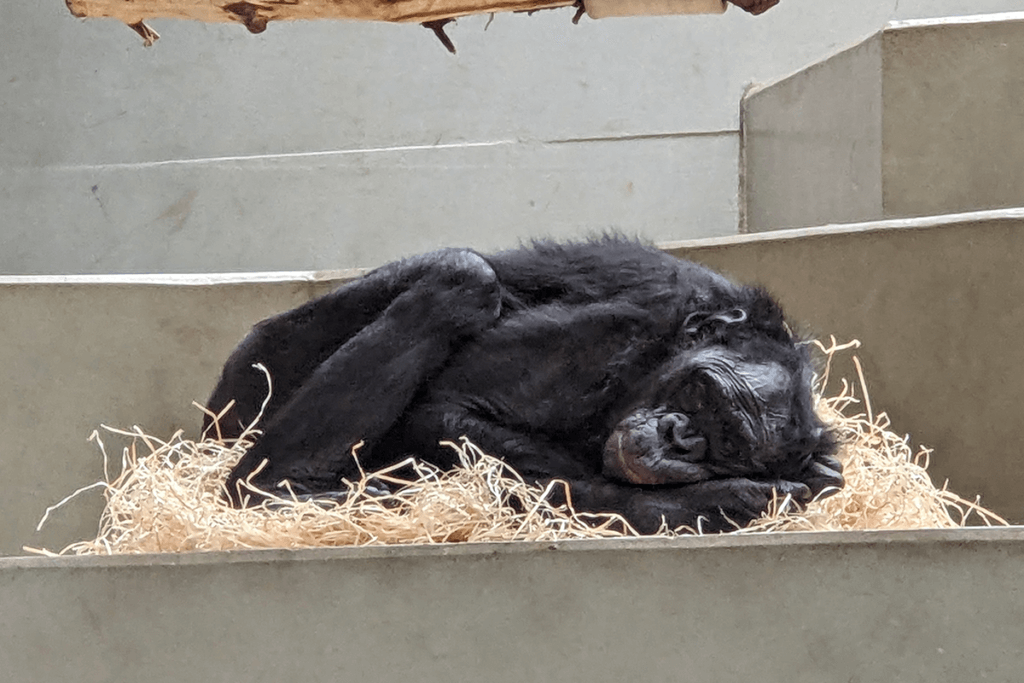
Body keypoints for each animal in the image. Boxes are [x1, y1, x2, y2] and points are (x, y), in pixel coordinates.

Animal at [203, 239, 843, 532]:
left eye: (728, 441)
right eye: (703, 393)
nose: (680, 436)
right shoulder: (600, 338)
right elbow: (444, 408)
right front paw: (714, 501)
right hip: (253, 385)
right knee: (463, 276)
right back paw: (276, 488)